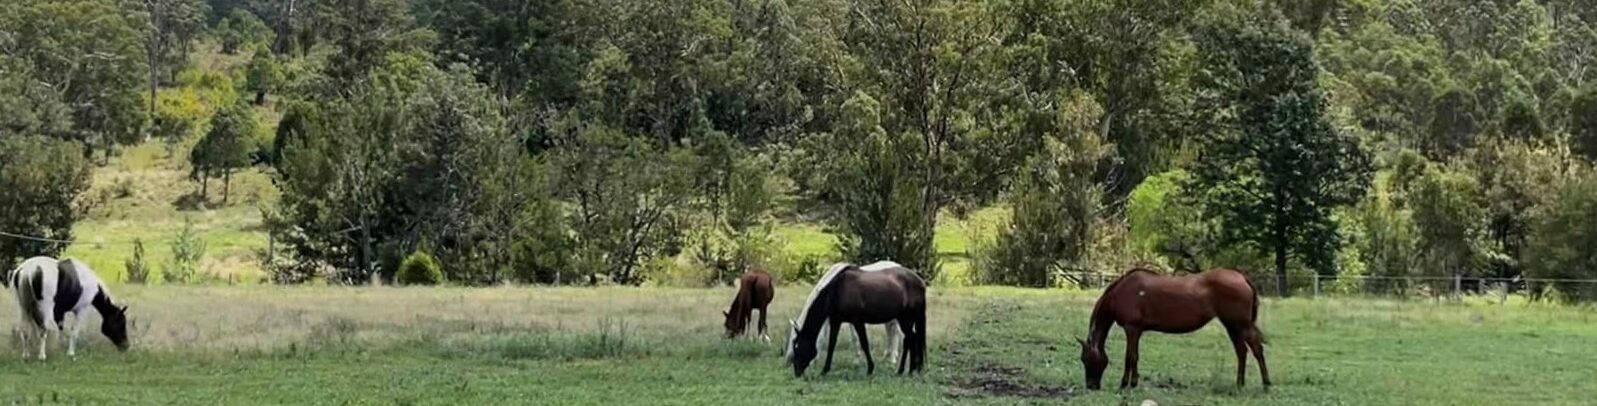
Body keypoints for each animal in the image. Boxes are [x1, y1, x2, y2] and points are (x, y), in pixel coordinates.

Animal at [788, 261, 926, 377]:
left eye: (797, 346)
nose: (796, 371)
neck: (837, 291)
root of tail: (919, 282)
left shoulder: (857, 321)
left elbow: (864, 343)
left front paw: (870, 368)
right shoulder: (836, 321)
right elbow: (832, 344)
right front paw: (825, 370)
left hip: (905, 320)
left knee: (909, 339)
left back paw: (903, 369)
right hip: (904, 320)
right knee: (910, 339)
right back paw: (909, 370)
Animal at [1077, 267, 1269, 390]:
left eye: (1085, 359)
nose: (1091, 386)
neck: (1121, 292)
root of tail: (1242, 278)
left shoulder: (1131, 329)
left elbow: (1130, 357)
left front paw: (1125, 384)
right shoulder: (1137, 331)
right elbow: (1135, 357)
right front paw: (1133, 383)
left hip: (1241, 324)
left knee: (1257, 349)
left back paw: (1266, 384)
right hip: (1232, 325)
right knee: (1242, 351)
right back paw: (1239, 384)